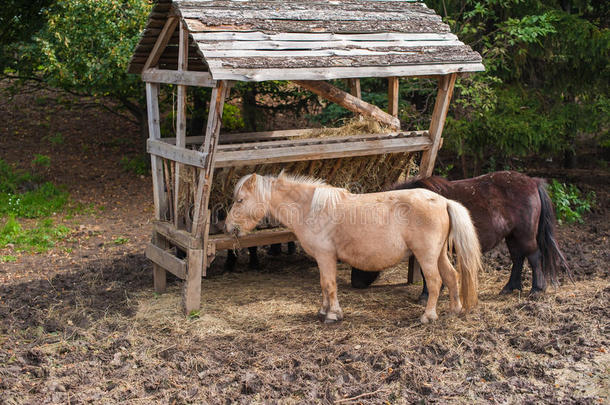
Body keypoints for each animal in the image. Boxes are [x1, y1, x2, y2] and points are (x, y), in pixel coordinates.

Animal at [222, 171, 480, 322]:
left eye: (240, 200)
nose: (228, 226)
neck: (310, 208)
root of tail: (443, 201)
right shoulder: (322, 259)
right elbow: (323, 285)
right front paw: (324, 311)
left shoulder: (326, 257)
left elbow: (329, 284)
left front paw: (332, 315)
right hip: (439, 255)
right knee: (452, 276)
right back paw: (455, 310)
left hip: (426, 256)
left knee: (435, 282)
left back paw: (428, 316)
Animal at [350, 170, 568, 300]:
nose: (355, 283)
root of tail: (533, 182)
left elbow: (428, 271)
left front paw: (426, 294)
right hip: (513, 236)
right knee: (518, 258)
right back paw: (510, 287)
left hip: (524, 235)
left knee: (534, 257)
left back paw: (536, 289)